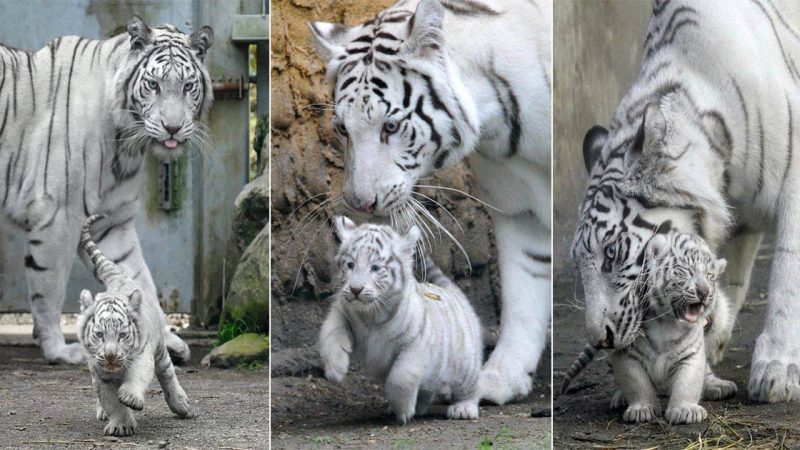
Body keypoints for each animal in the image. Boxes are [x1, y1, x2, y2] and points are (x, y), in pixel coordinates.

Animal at [0, 15, 214, 364]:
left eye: (187, 86)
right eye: (153, 85)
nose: (172, 128)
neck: (127, 144)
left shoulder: (111, 223)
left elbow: (137, 280)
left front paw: (162, 340)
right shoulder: (56, 216)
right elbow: (49, 289)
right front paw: (59, 350)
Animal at [77, 214, 191, 436]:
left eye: (122, 335)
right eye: (99, 335)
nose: (110, 356)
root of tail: (121, 279)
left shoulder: (142, 356)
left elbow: (136, 377)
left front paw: (130, 398)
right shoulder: (99, 374)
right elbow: (111, 401)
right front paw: (120, 425)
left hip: (160, 350)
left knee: (167, 374)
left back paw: (181, 404)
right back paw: (102, 412)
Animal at [318, 216, 482, 424]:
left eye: (375, 268)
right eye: (350, 265)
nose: (356, 289)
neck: (371, 315)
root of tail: (453, 292)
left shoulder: (416, 342)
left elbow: (401, 376)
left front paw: (403, 411)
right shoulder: (342, 311)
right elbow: (332, 333)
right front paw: (335, 369)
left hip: (465, 366)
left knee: (471, 387)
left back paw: (463, 409)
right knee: (427, 389)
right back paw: (419, 407)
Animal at [572, 0, 800, 404]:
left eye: (611, 253)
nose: (601, 339)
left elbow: (788, 274)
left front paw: (778, 370)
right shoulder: (735, 218)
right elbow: (729, 279)